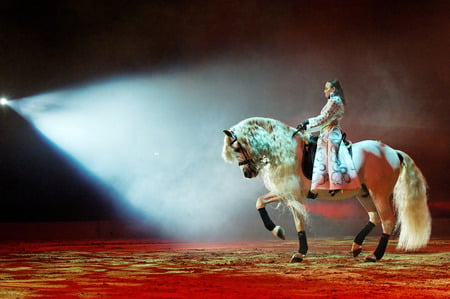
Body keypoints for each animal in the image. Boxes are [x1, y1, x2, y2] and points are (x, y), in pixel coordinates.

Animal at [223, 117, 430, 262]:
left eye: (237, 147)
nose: (247, 173)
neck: (287, 150)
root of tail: (392, 151)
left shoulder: (289, 193)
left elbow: (266, 205)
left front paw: (281, 234)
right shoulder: (292, 195)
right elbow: (290, 219)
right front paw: (296, 250)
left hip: (378, 193)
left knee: (387, 220)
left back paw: (375, 255)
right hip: (364, 194)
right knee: (374, 217)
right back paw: (356, 246)